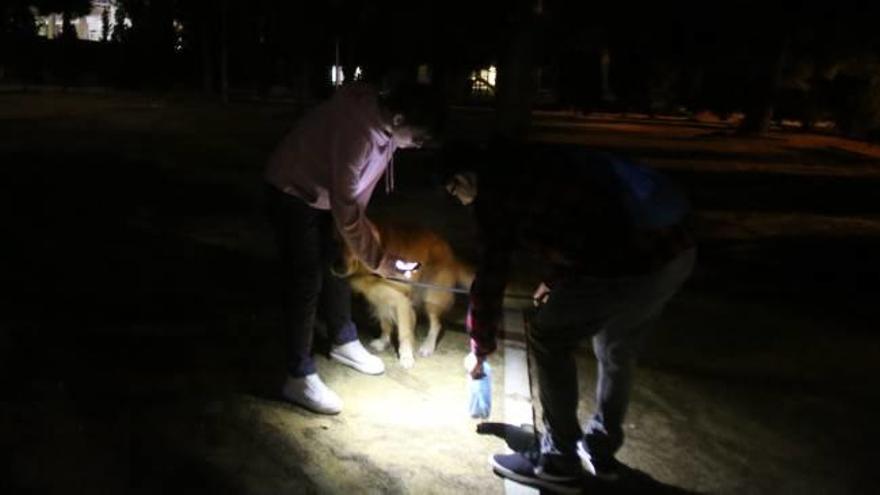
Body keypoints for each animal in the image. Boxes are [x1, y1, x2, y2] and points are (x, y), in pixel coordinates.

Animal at [338, 223, 474, 370]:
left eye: (351, 243)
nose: (336, 267)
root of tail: (451, 252)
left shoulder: (401, 300)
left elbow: (404, 333)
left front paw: (406, 357)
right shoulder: (379, 299)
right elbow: (385, 323)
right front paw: (383, 341)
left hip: (432, 296)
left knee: (436, 324)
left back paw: (428, 346)